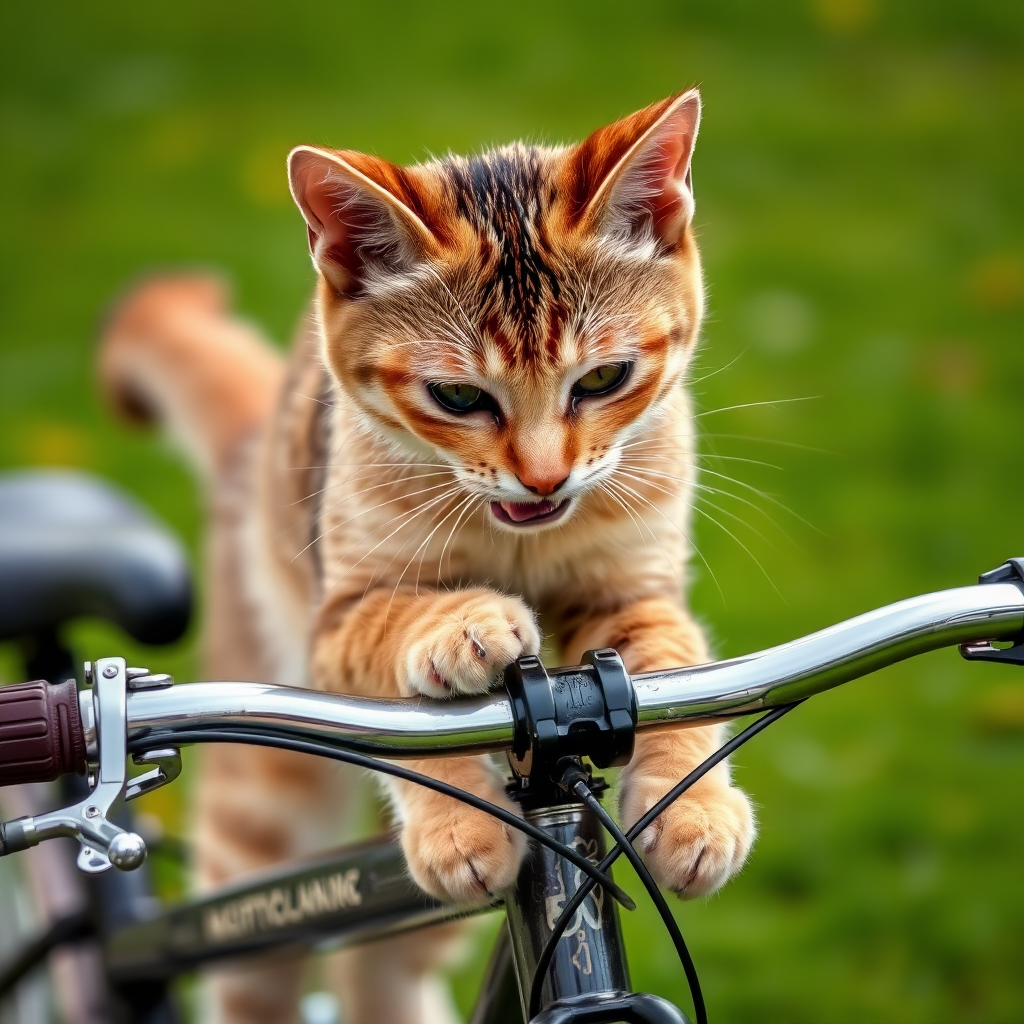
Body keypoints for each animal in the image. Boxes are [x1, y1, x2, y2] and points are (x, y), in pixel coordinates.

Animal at [101, 90, 753, 1024]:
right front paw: (461, 673)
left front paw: (695, 809)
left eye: (604, 379)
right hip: (260, 810)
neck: (516, 535)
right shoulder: (339, 622)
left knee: (381, 967)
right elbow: (399, 674)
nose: (545, 475)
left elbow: (670, 664)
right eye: (456, 396)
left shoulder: (637, 585)